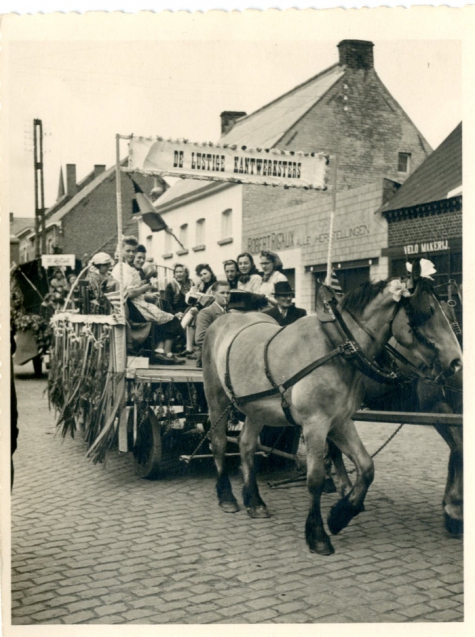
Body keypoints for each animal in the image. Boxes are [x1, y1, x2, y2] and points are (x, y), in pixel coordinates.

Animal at [203, 260, 462, 556]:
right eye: (428, 311)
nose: (456, 362)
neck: (339, 345)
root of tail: (227, 317)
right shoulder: (315, 424)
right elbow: (315, 478)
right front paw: (317, 534)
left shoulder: (341, 421)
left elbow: (367, 466)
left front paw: (341, 514)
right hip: (217, 399)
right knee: (219, 442)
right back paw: (226, 496)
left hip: (256, 407)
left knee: (246, 445)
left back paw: (255, 501)